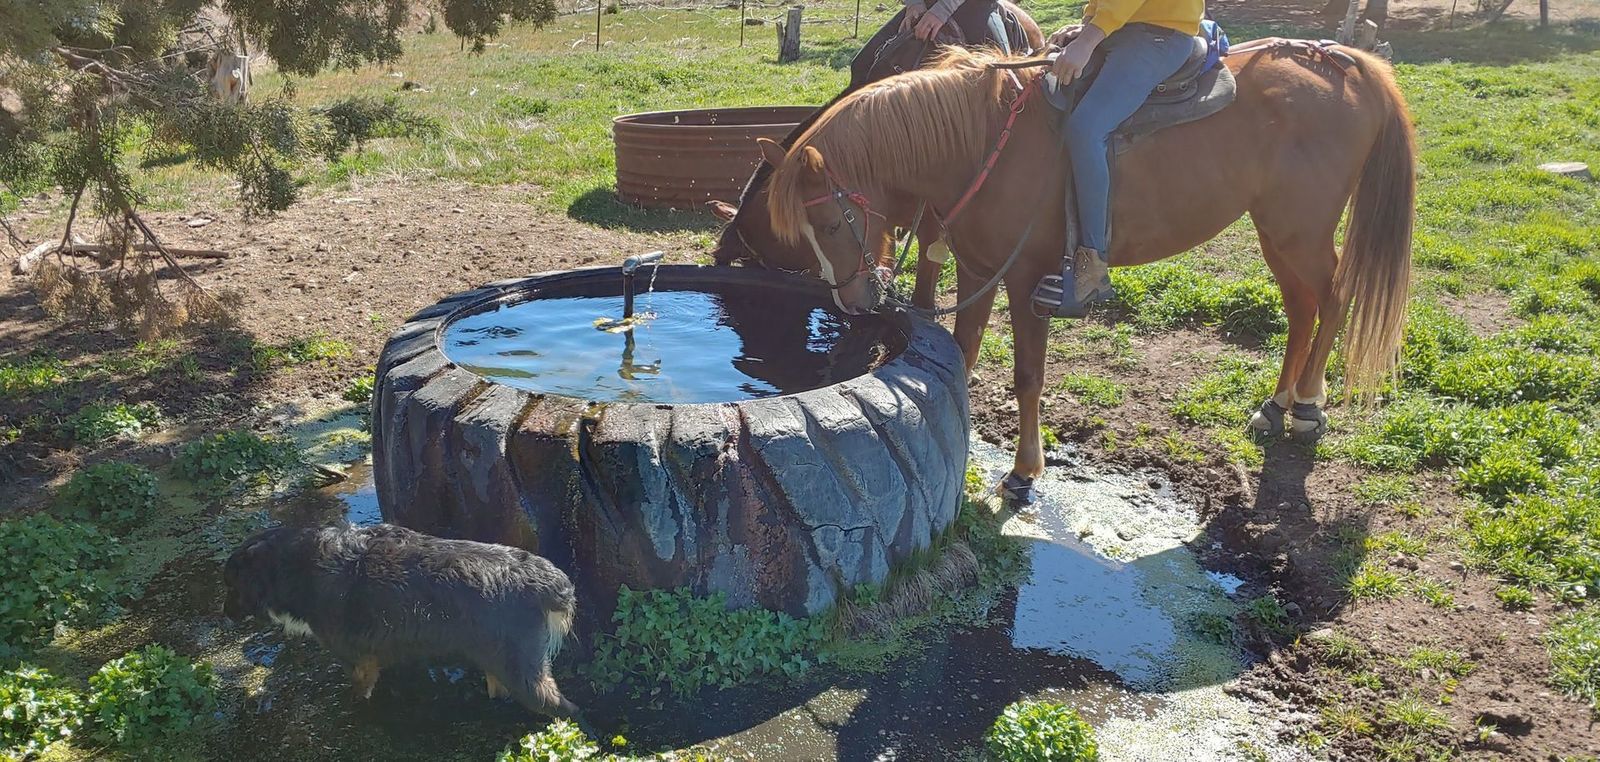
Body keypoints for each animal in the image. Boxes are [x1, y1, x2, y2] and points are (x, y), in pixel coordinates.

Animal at [223, 523, 579, 718]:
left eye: (231, 586)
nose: (225, 614)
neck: (298, 567)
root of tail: (547, 581)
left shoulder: (357, 662)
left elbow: (358, 694)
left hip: (520, 672)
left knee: (566, 710)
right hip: (498, 663)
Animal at [757, 45, 1416, 499]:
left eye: (832, 224)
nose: (851, 303)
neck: (981, 144)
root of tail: (1348, 64)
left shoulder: (1026, 281)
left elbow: (1028, 377)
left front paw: (1024, 472)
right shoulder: (977, 270)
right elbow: (961, 355)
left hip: (1299, 232)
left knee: (1333, 300)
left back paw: (1306, 406)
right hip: (1276, 233)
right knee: (1303, 308)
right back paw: (1276, 404)